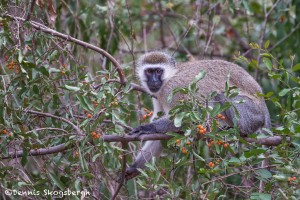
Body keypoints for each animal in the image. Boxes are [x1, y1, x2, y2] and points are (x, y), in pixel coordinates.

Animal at [125, 51, 270, 180]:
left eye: (158, 71)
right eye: (149, 71)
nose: (154, 80)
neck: (169, 77)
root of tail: (262, 104)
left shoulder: (174, 89)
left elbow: (187, 118)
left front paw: (147, 128)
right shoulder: (158, 95)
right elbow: (159, 137)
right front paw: (134, 167)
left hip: (251, 113)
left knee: (223, 95)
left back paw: (240, 131)